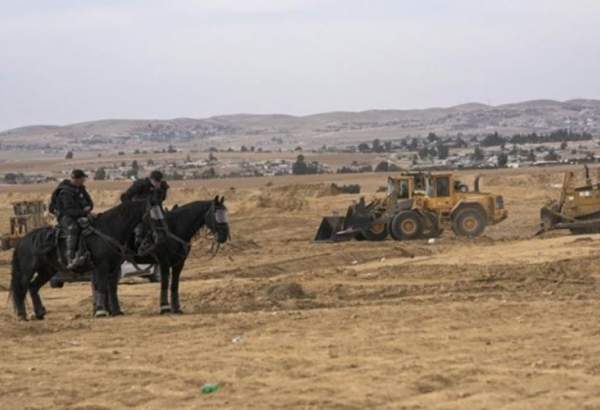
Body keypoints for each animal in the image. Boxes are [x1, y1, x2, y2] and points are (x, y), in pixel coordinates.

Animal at [11, 196, 157, 320]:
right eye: (150, 215)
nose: (151, 239)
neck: (108, 231)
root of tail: (22, 241)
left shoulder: (114, 268)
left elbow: (111, 288)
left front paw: (116, 311)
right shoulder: (101, 266)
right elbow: (101, 286)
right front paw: (101, 311)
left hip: (47, 270)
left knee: (33, 287)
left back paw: (39, 313)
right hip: (27, 271)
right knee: (21, 288)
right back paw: (21, 315)